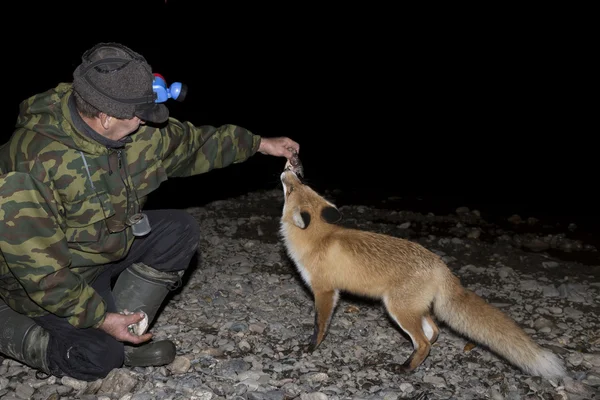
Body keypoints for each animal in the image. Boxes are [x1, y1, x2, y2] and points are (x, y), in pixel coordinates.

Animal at [278, 169, 568, 378]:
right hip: (413, 308)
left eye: (293, 187)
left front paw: (311, 348)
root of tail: (442, 266)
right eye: (300, 185)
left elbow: (319, 325)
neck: (319, 238)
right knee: (434, 332)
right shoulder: (332, 291)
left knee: (425, 342)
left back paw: (405, 368)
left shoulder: (325, 291)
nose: (287, 170)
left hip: (397, 308)